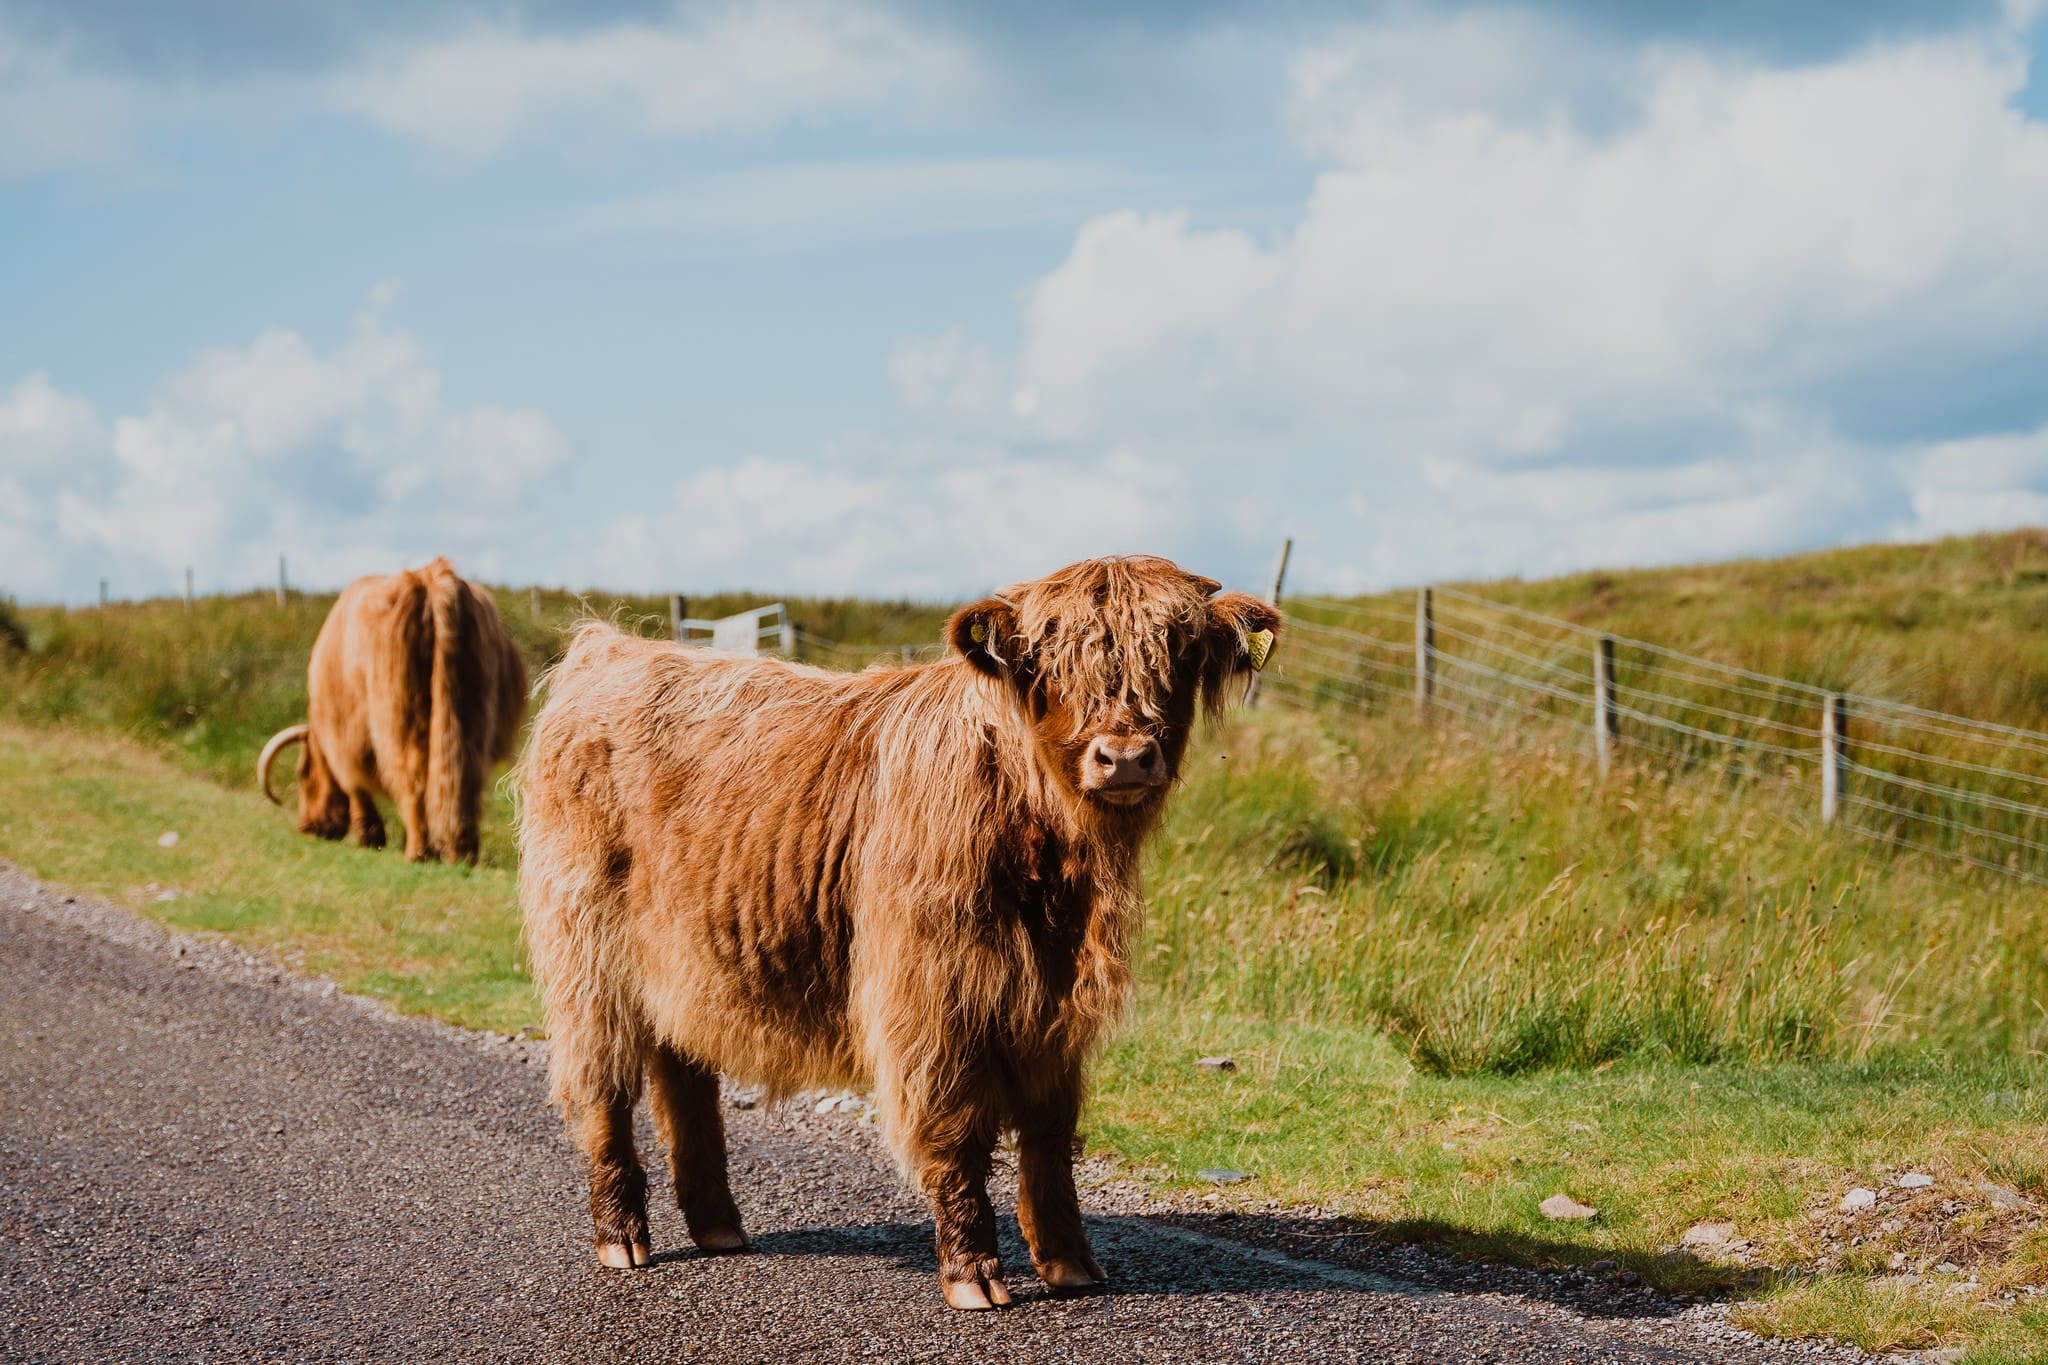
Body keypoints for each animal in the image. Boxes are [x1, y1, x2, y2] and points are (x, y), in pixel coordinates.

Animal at [257, 557, 527, 866]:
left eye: (303, 772)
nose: (306, 826)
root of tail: (433, 579)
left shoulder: (345, 739)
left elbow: (356, 786)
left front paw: (370, 838)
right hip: (471, 713)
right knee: (465, 777)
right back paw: (463, 853)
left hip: (401, 717)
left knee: (413, 776)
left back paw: (419, 851)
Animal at [516, 555, 1281, 1309]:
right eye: (1048, 660)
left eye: (1179, 652)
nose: (1122, 757)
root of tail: (610, 646)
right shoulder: (933, 994)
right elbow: (957, 1128)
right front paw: (973, 1271)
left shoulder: (1054, 1005)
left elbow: (1049, 1131)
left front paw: (1070, 1261)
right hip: (588, 951)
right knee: (603, 1087)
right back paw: (622, 1235)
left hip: (685, 956)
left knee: (684, 1073)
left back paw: (718, 1225)